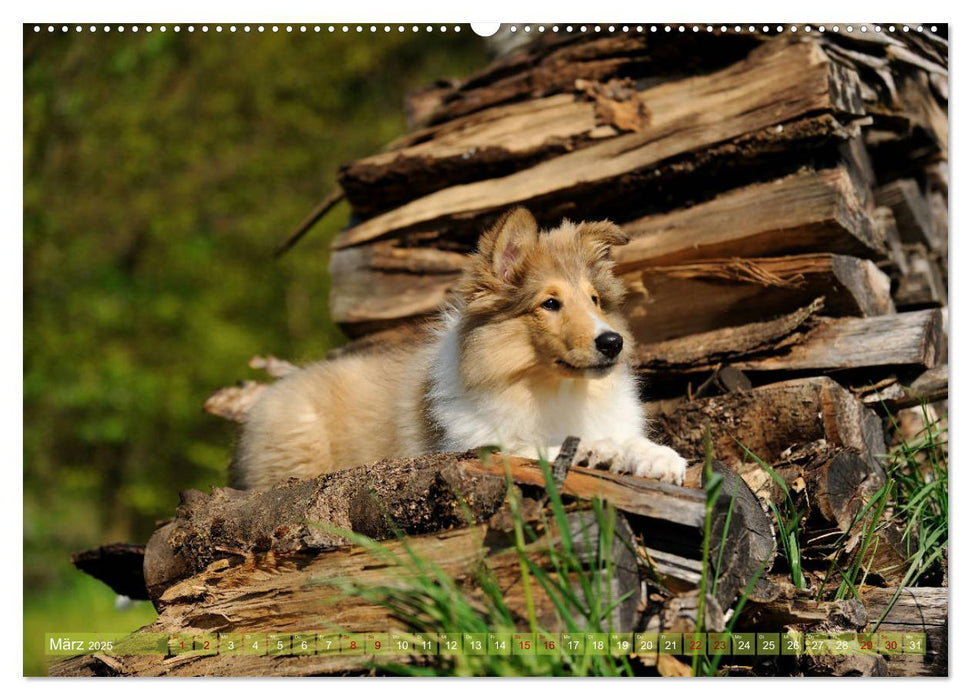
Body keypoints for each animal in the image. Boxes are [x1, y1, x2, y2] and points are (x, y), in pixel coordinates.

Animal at [232, 209, 688, 492]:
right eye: (550, 303)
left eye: (594, 299)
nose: (613, 343)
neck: (551, 387)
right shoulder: (473, 443)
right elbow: (528, 446)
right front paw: (596, 449)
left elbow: (631, 439)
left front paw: (660, 457)